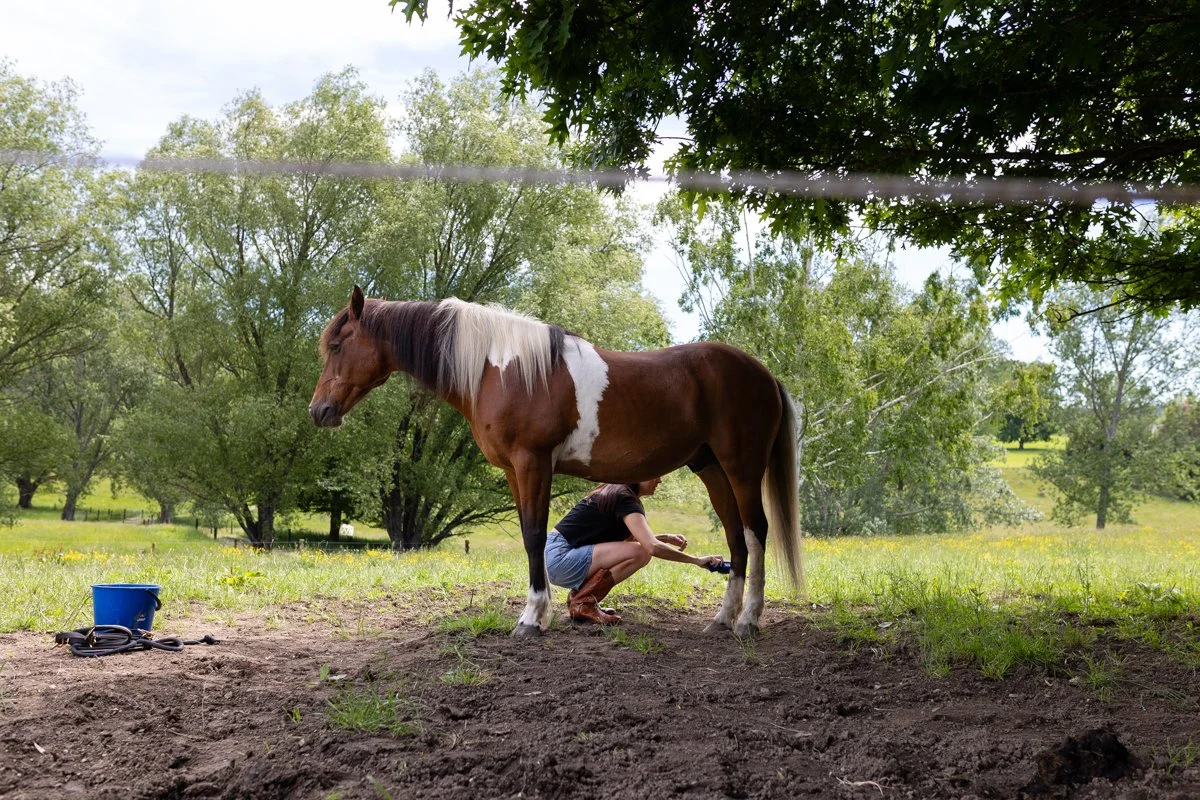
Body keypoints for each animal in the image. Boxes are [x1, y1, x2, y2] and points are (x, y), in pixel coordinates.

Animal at [309, 286, 802, 637]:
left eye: (336, 345)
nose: (318, 412)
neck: (498, 369)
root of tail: (762, 373)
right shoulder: (514, 470)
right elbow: (533, 537)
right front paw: (541, 614)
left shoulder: (533, 463)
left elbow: (533, 536)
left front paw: (531, 620)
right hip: (711, 469)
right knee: (736, 539)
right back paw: (721, 620)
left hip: (742, 468)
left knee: (755, 532)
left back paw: (748, 622)